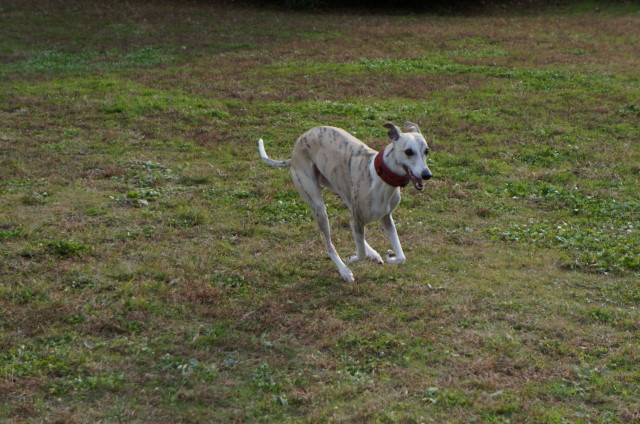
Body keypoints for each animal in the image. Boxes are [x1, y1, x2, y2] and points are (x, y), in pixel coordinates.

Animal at [258, 121, 432, 282]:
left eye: (426, 151)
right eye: (408, 152)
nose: (427, 174)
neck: (381, 177)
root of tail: (296, 147)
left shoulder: (385, 217)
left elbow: (401, 257)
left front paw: (391, 256)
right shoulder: (361, 218)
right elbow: (360, 254)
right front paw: (352, 259)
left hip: (342, 190)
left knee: (351, 223)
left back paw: (372, 253)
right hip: (318, 205)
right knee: (329, 244)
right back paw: (344, 271)